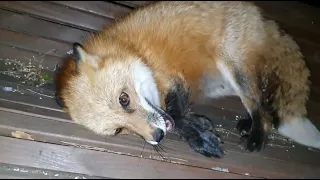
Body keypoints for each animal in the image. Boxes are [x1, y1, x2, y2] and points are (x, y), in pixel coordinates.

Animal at [54, 1, 318, 159]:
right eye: (119, 130)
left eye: (124, 99)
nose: (157, 138)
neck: (136, 51)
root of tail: (261, 16)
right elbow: (180, 116)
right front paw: (200, 129)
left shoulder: (173, 79)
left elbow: (177, 114)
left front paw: (200, 138)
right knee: (263, 106)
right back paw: (246, 123)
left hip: (234, 68)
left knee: (262, 109)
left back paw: (256, 136)